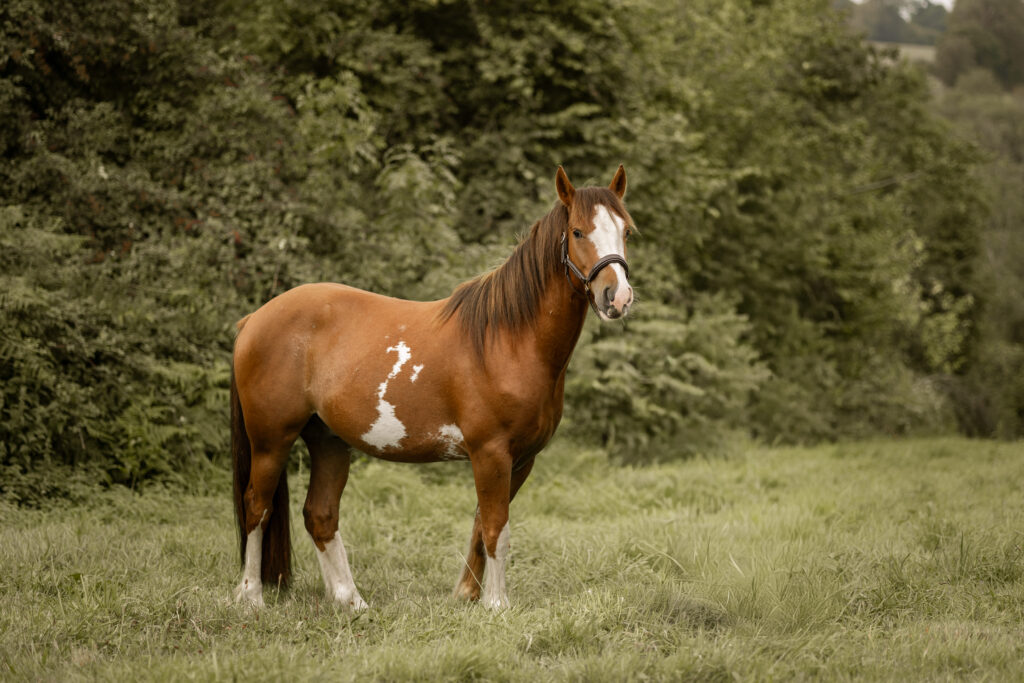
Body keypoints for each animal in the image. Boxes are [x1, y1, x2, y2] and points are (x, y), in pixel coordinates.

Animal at [231, 165, 635, 610]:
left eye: (626, 231)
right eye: (578, 231)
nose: (617, 297)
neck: (508, 340)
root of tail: (253, 319)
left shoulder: (520, 460)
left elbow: (481, 525)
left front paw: (467, 595)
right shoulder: (491, 452)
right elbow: (497, 529)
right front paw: (497, 605)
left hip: (328, 440)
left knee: (320, 514)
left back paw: (351, 602)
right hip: (271, 440)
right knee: (256, 507)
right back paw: (251, 596)